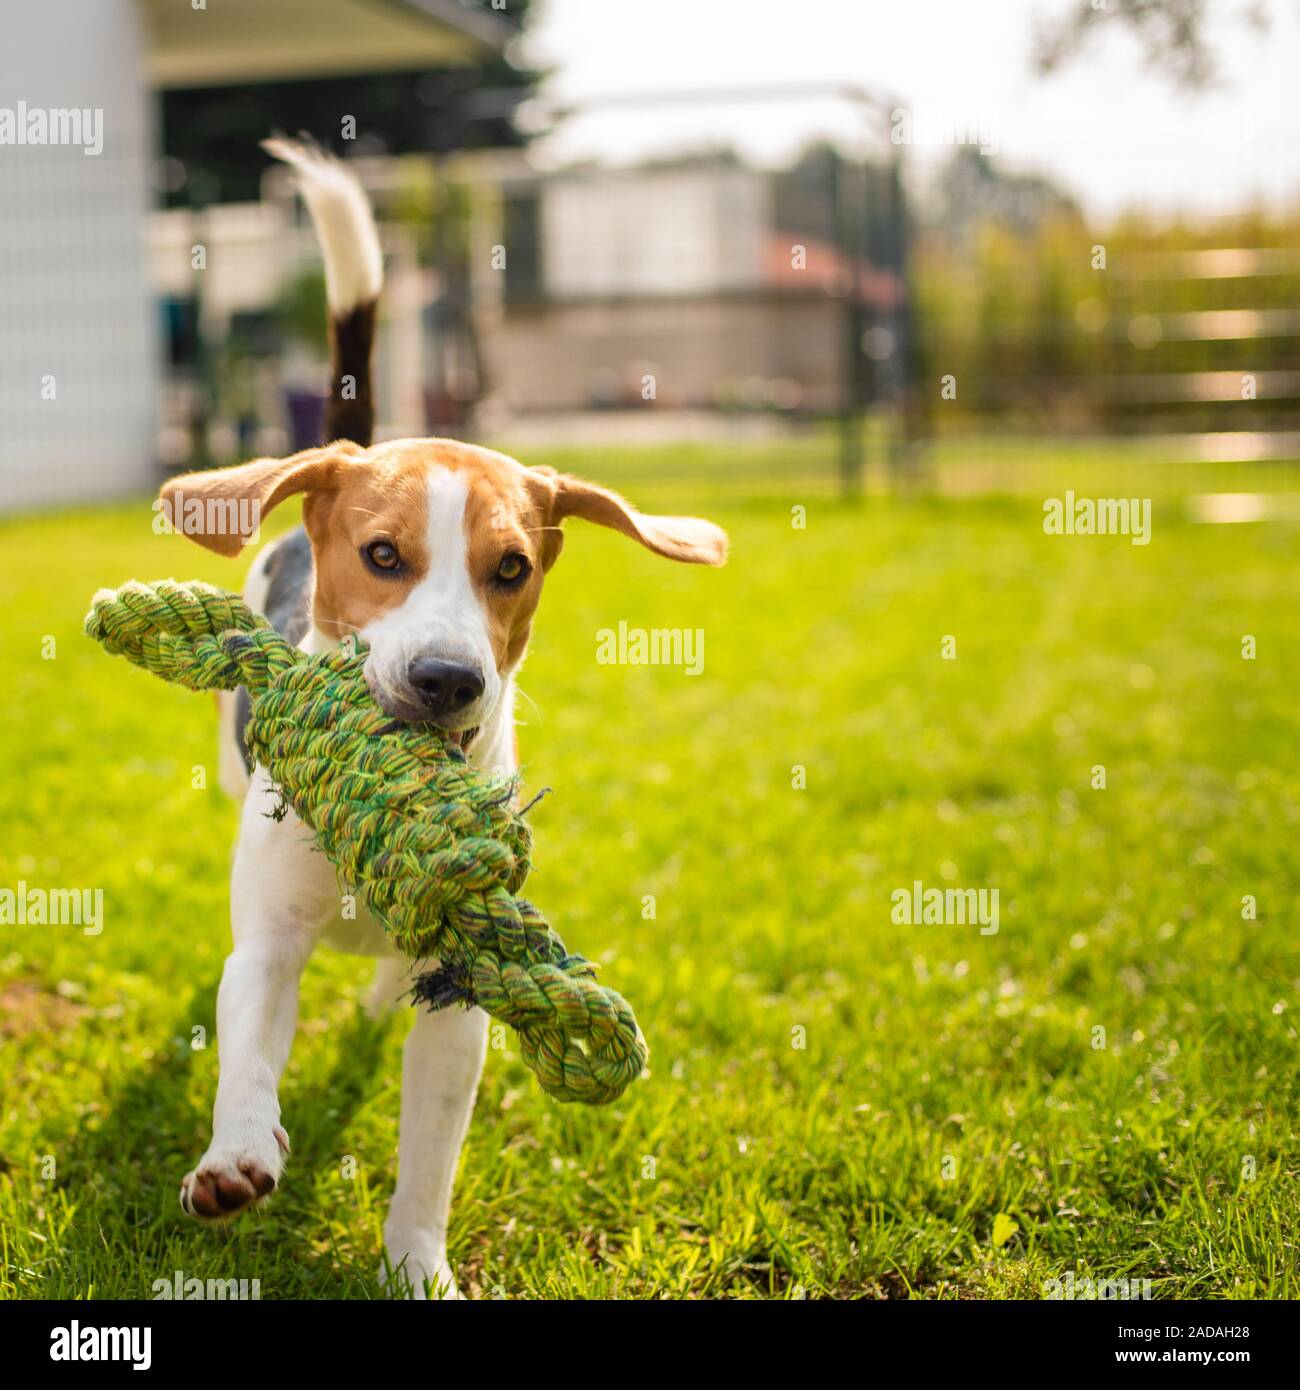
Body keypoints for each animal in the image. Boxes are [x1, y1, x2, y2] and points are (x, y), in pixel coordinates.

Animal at [157, 135, 728, 1295]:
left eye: (510, 569)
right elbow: (248, 1048)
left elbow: (431, 1148)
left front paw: (415, 1259)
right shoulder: (269, 947)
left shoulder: (466, 994)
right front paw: (236, 1154)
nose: (447, 680)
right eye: (382, 555)